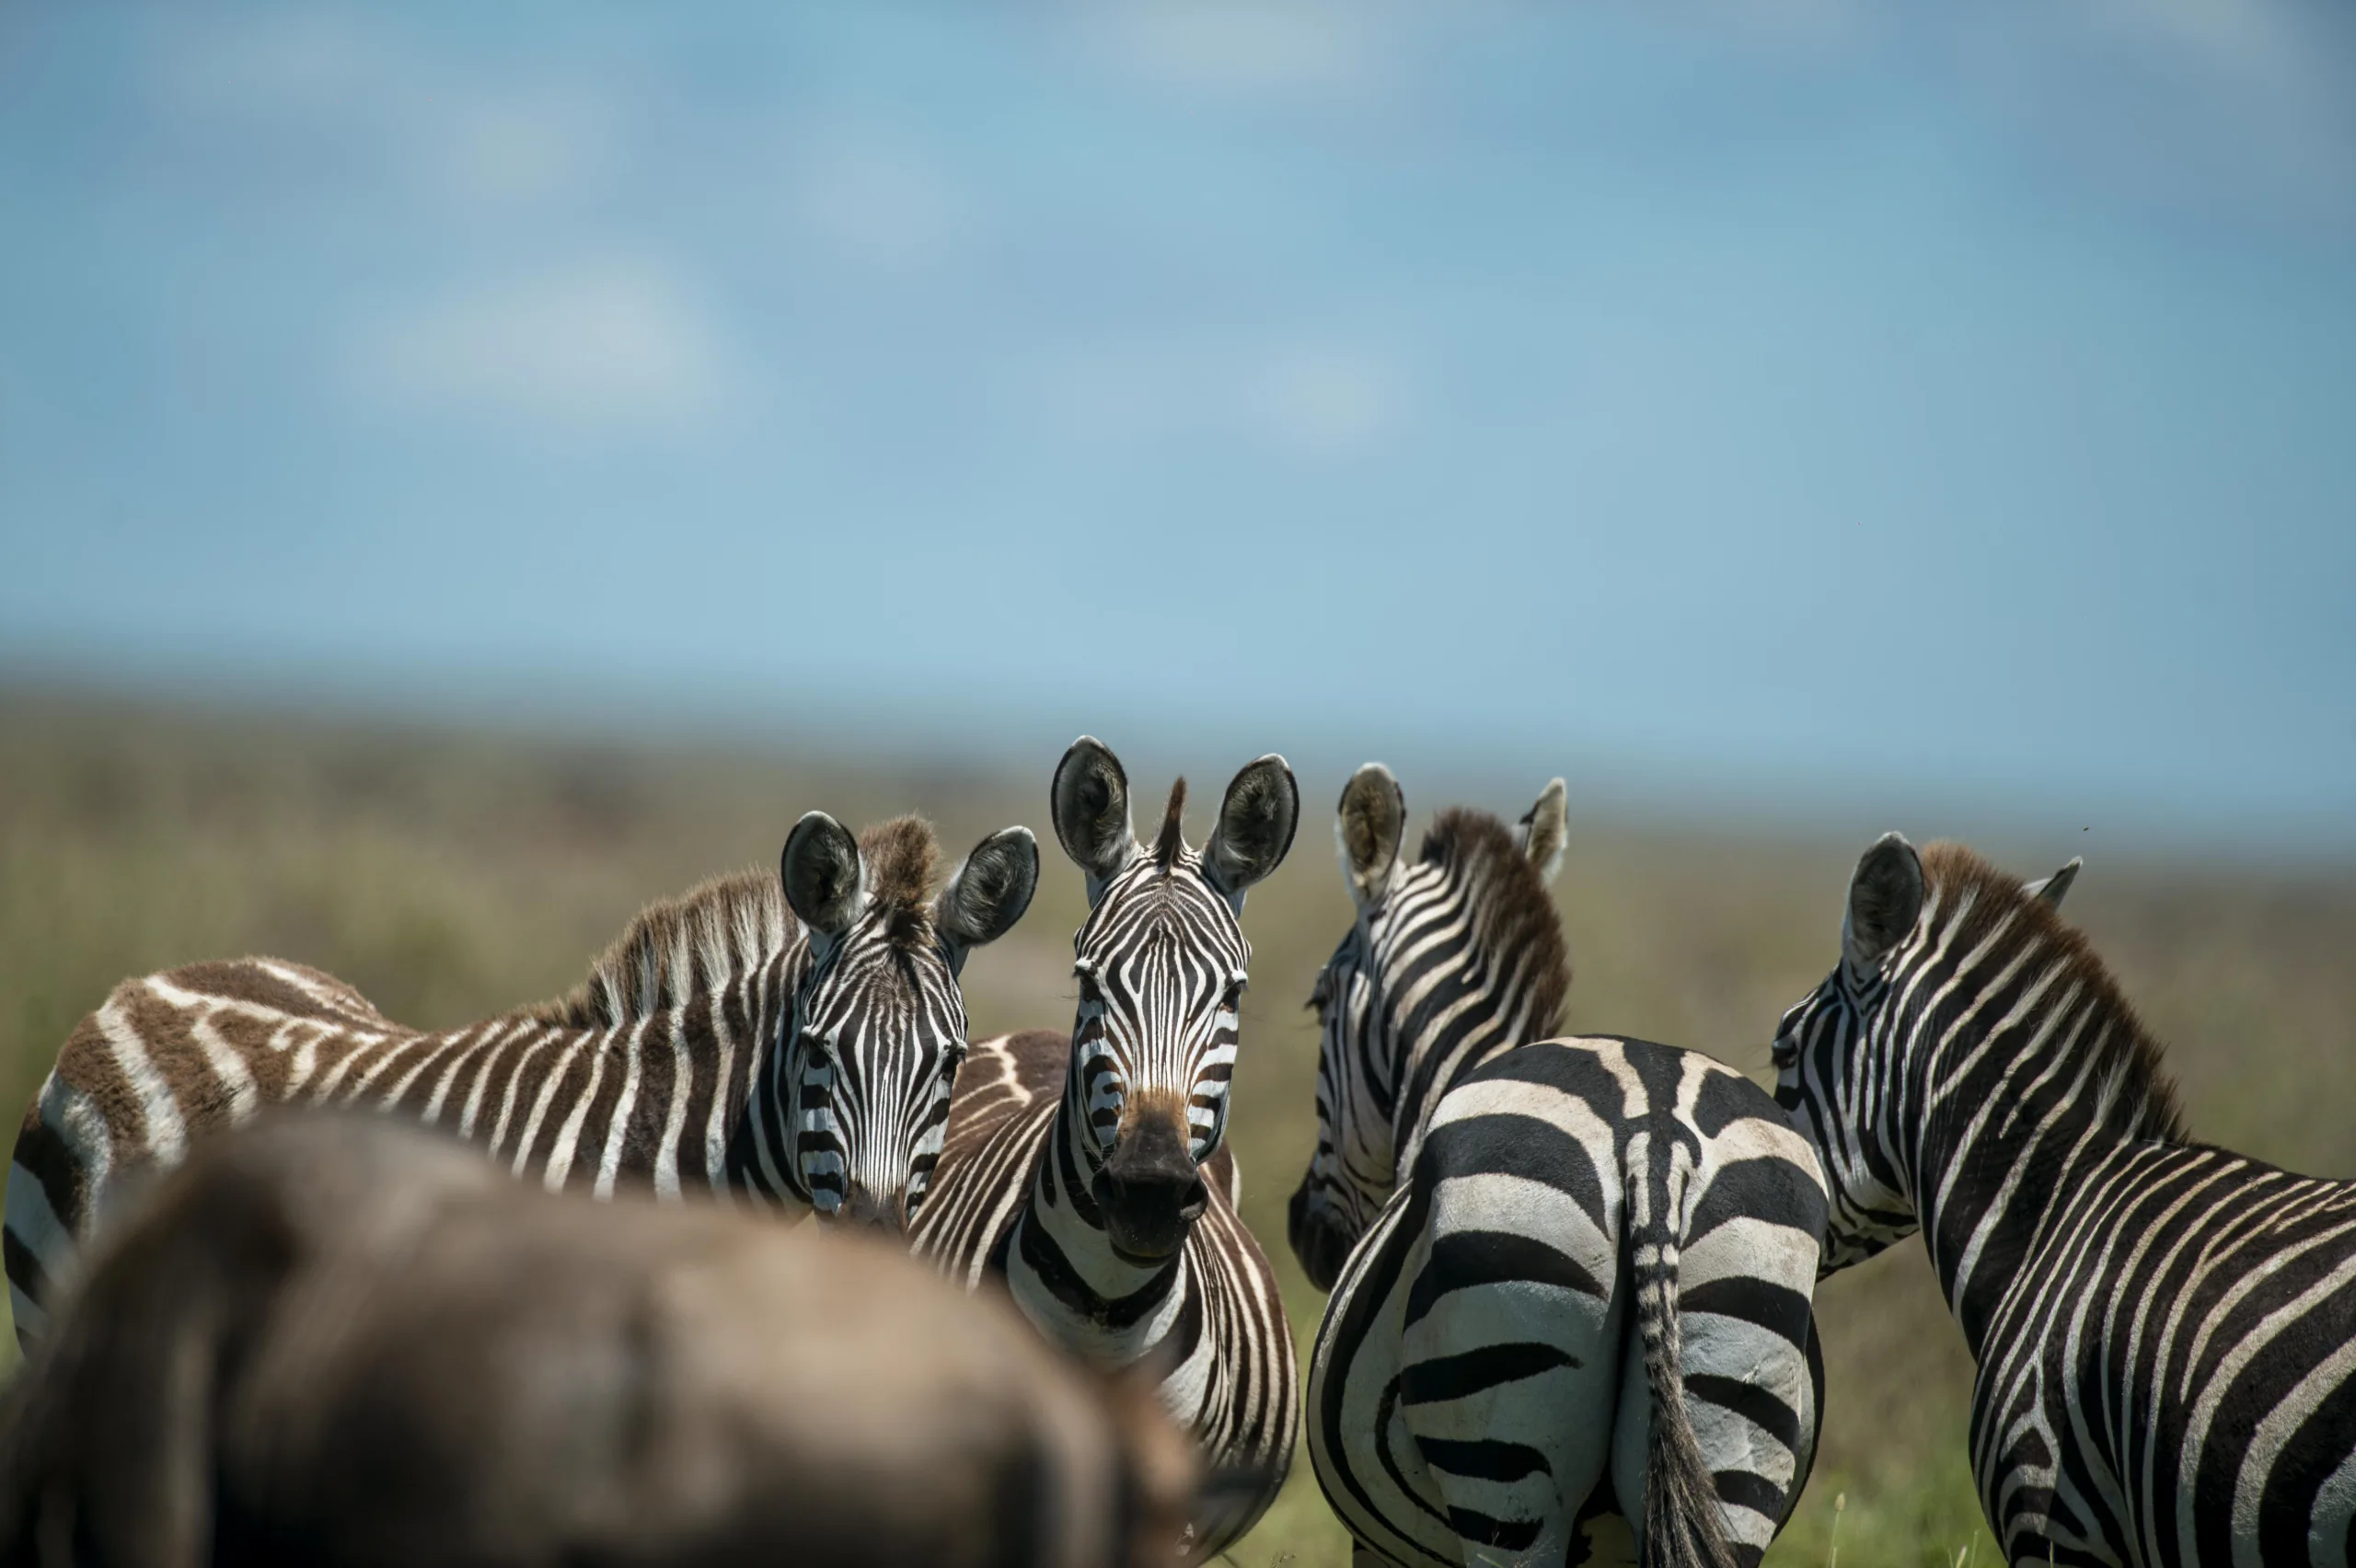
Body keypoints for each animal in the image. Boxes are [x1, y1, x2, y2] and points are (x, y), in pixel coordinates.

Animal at [1297, 764, 1828, 1568]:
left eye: (1320, 1000)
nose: (1307, 1238)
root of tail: (1655, 1138)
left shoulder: (1385, 1549)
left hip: (1504, 1455)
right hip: (1737, 1423)